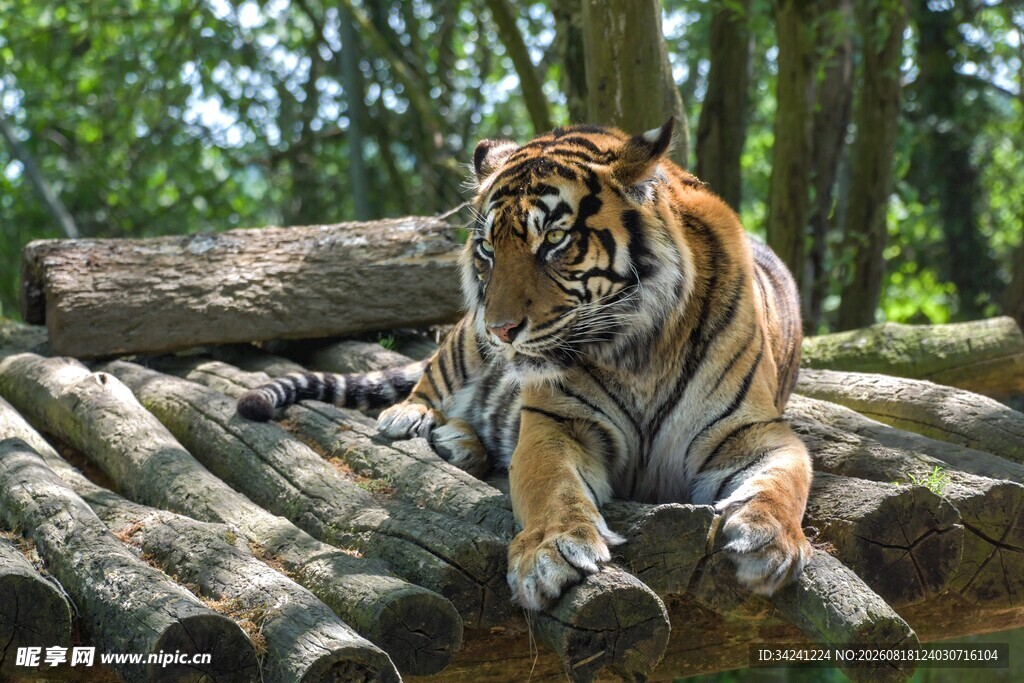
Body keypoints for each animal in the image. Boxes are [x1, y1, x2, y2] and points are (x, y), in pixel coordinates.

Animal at [238, 119, 813, 611]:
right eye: (487, 249)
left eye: (554, 240)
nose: (500, 329)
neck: (637, 354)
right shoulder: (555, 423)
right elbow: (549, 486)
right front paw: (552, 552)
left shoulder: (753, 430)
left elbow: (786, 481)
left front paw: (771, 539)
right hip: (461, 346)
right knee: (430, 381)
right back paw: (415, 419)